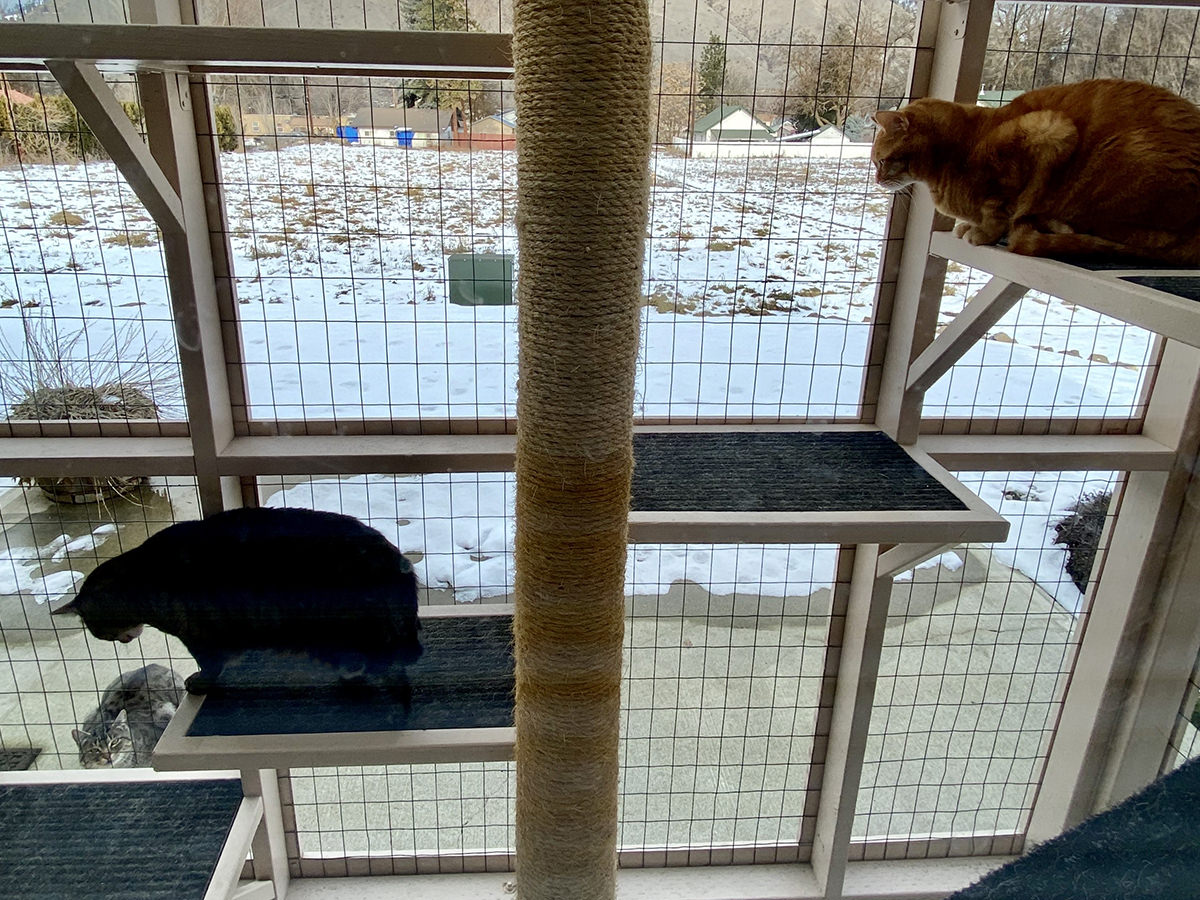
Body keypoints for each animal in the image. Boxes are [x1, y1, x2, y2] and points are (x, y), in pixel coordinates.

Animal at [55, 508, 422, 696]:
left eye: (96, 628)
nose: (121, 641)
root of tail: (395, 563)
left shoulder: (198, 634)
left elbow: (211, 664)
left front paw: (199, 682)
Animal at [878, 78, 1200, 264]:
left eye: (879, 162)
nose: (878, 179)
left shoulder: (1050, 131)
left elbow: (1001, 206)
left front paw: (983, 232)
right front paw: (970, 227)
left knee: (1145, 238)